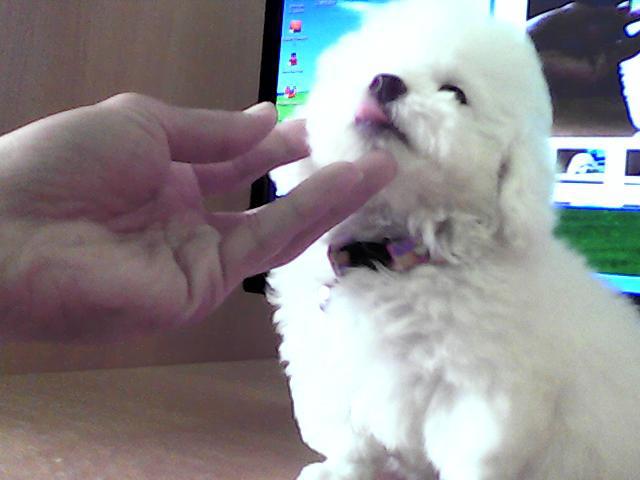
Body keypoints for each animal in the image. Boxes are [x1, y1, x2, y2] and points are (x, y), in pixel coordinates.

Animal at [268, 1, 640, 478]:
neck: (397, 253)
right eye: (366, 67)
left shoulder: (478, 389)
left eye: (455, 92)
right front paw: (343, 469)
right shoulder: (330, 364)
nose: (385, 81)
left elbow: (472, 452)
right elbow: (349, 433)